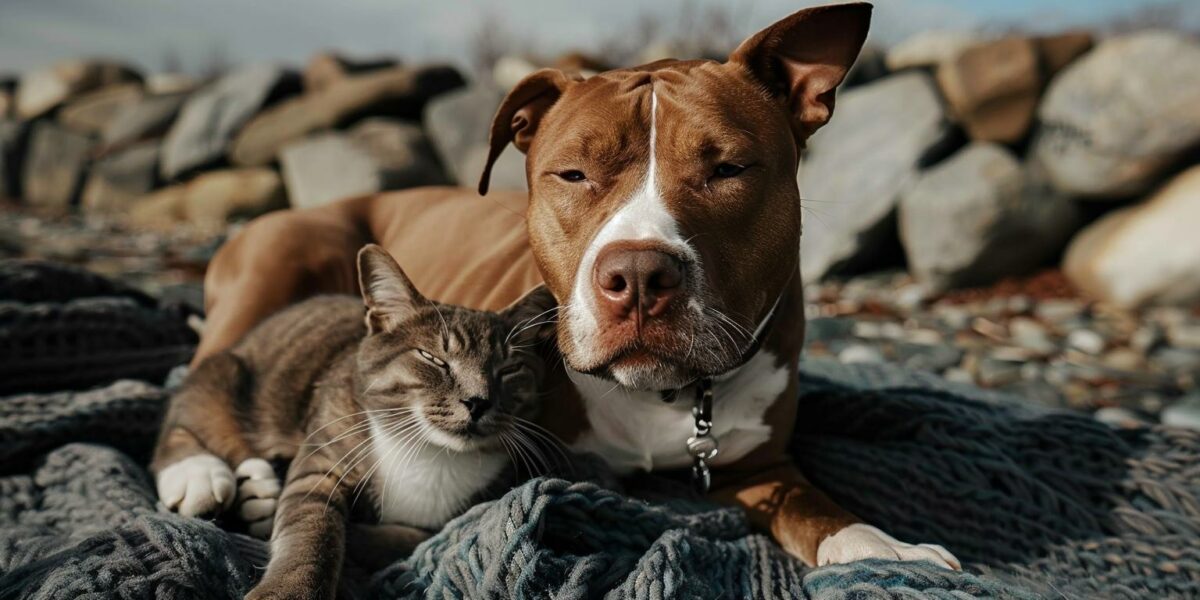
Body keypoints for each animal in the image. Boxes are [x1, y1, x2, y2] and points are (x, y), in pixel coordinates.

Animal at [150, 243, 556, 600]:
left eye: (509, 369)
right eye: (433, 359)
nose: (478, 401)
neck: (430, 450)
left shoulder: (462, 514)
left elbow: (407, 538)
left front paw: (357, 534)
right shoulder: (325, 455)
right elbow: (312, 527)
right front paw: (289, 588)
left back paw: (259, 493)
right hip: (225, 375)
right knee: (182, 421)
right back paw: (198, 476)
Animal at [192, 2, 960, 568]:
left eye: (728, 169)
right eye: (572, 173)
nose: (640, 275)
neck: (664, 396)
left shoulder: (763, 467)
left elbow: (814, 506)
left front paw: (881, 546)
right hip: (282, 254)